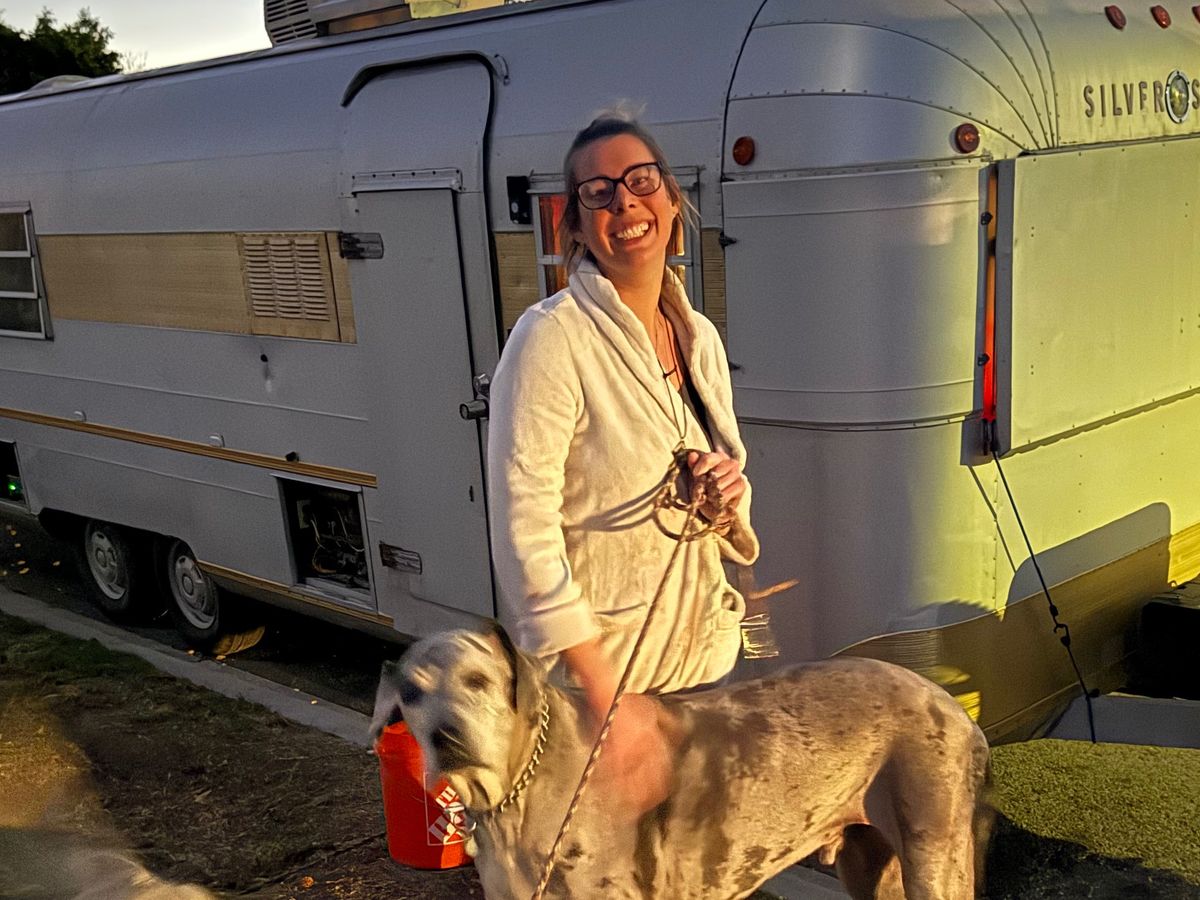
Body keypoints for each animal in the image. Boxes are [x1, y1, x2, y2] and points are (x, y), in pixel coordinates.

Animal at [370, 628, 991, 900]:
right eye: (411, 693)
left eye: (477, 681)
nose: (445, 737)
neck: (517, 796)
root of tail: (957, 710)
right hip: (869, 864)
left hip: (934, 855)